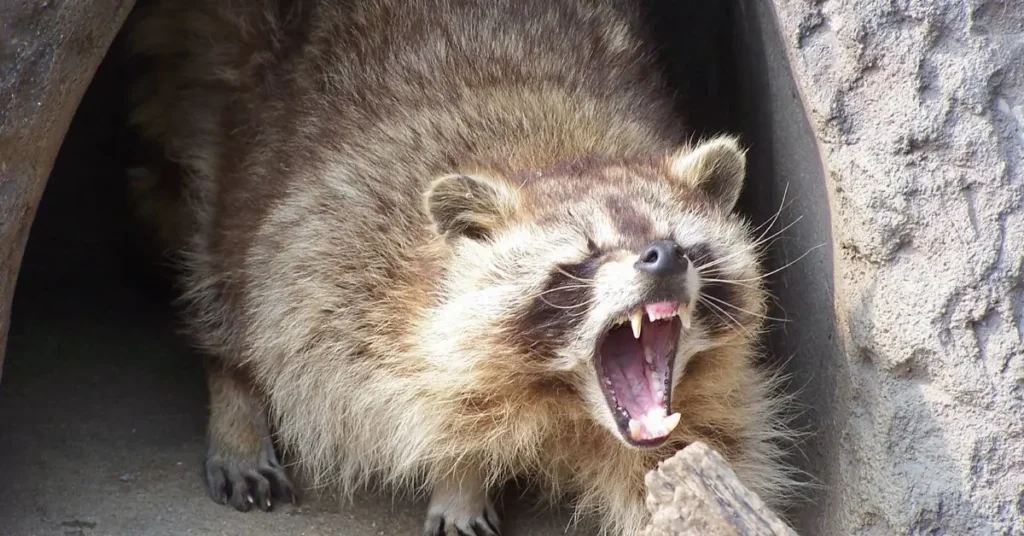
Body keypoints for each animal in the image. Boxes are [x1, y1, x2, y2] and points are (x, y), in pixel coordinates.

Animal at [125, 0, 797, 534]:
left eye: (681, 243)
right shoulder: (342, 249)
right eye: (584, 257)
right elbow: (373, 383)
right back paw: (233, 388)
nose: (664, 259)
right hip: (230, 87)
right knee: (223, 251)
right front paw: (459, 470)